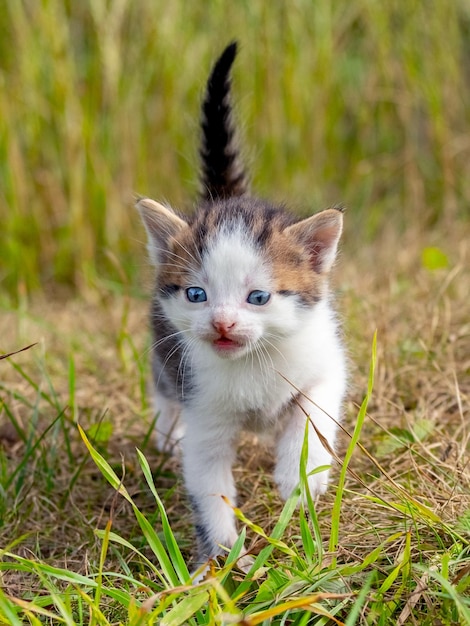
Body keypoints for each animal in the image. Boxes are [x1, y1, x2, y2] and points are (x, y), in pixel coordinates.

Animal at [136, 41, 346, 568]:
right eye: (197, 294)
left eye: (258, 298)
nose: (224, 324)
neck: (254, 364)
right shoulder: (203, 405)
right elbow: (208, 482)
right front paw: (225, 556)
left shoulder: (325, 362)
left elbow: (312, 414)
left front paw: (298, 479)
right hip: (165, 355)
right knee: (163, 391)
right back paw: (167, 435)